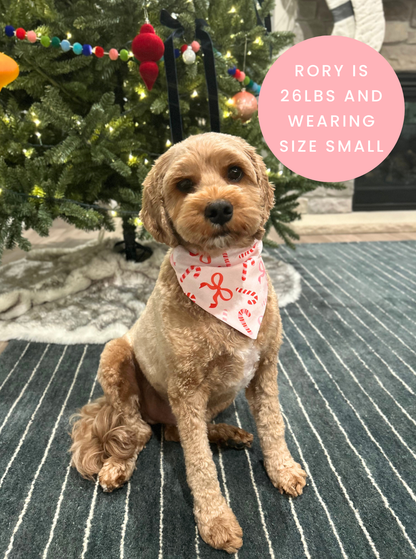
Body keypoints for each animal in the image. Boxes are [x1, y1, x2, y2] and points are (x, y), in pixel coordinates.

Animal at [70, 132, 306, 556]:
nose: (219, 207)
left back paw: (228, 435)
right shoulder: (186, 390)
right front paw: (216, 520)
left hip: (218, 396)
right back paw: (118, 465)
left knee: (172, 433)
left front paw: (282, 469)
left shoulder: (264, 369)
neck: (224, 278)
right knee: (136, 432)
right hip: (116, 356)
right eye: (184, 185)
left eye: (234, 172)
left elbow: (272, 423)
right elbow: (199, 465)